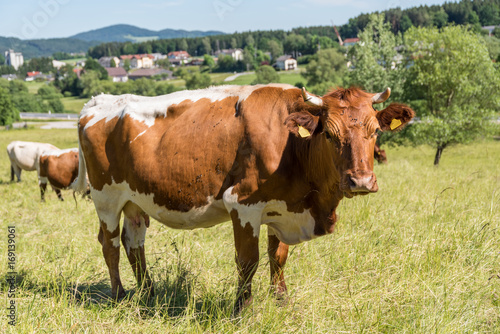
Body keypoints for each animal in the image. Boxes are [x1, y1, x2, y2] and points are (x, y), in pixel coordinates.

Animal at [73, 83, 414, 310]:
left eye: (374, 131)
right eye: (329, 134)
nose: (360, 180)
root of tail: (99, 102)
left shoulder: (281, 208)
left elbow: (278, 256)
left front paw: (281, 299)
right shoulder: (243, 203)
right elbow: (248, 260)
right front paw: (243, 308)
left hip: (136, 199)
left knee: (134, 242)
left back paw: (148, 292)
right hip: (106, 198)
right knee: (110, 245)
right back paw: (119, 295)